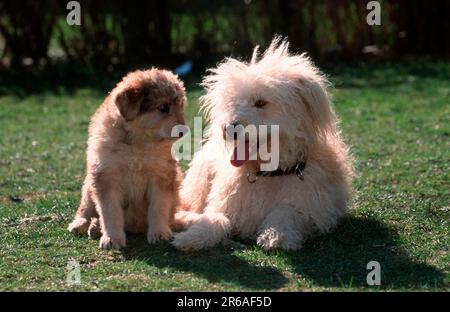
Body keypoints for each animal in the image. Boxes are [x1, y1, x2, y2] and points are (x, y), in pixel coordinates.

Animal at [67, 68, 186, 249]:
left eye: (180, 106)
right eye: (163, 108)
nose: (184, 131)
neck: (137, 141)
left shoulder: (162, 175)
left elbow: (158, 206)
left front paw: (159, 233)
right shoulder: (105, 176)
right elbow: (110, 211)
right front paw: (111, 238)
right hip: (89, 186)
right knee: (85, 209)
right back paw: (83, 224)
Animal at [174, 38, 354, 251]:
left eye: (261, 102)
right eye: (232, 102)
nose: (228, 128)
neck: (269, 173)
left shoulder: (313, 207)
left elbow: (288, 211)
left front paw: (276, 235)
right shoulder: (223, 203)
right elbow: (216, 219)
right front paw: (192, 237)